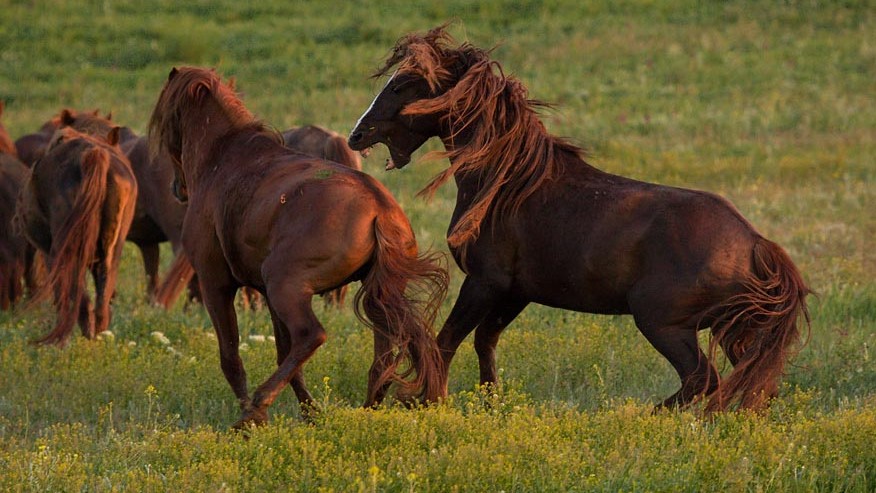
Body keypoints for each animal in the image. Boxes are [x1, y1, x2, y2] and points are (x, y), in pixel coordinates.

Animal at [17, 126, 137, 345]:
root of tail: (94, 154)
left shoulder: (49, 254)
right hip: (111, 252)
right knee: (100, 303)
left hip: (65, 251)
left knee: (79, 299)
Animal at [148, 66, 449, 427]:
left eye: (167, 119)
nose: (176, 188)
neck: (225, 158)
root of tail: (379, 208)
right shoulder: (265, 295)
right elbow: (283, 354)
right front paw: (309, 413)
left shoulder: (215, 284)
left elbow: (231, 357)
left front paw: (254, 415)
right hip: (375, 293)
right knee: (387, 350)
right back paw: (367, 408)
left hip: (287, 286)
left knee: (312, 335)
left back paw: (257, 406)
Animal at [347, 26, 811, 413]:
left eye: (402, 84)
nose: (357, 134)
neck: (507, 185)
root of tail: (755, 244)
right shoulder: (516, 292)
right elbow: (484, 343)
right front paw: (489, 404)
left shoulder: (483, 282)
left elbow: (445, 342)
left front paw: (423, 401)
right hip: (731, 330)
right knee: (754, 383)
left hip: (664, 323)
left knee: (704, 379)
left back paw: (641, 417)